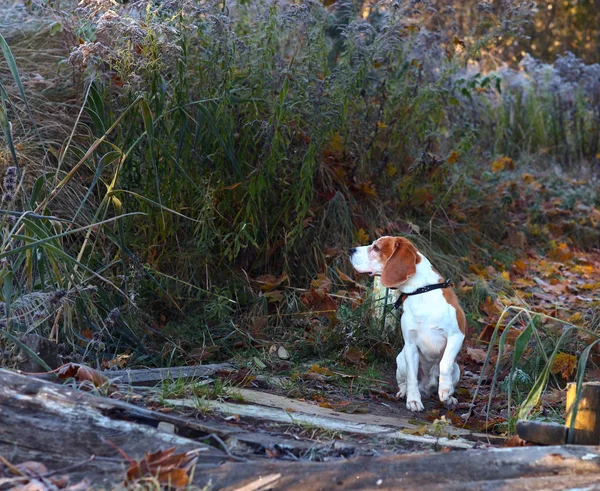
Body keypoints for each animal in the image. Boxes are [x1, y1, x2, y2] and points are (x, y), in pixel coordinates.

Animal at [350, 236, 466, 414]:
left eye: (376, 248)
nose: (351, 250)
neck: (421, 291)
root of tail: (426, 388)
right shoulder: (410, 345)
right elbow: (412, 377)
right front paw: (413, 400)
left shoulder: (457, 336)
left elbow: (444, 363)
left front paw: (445, 390)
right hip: (401, 359)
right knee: (405, 382)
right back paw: (404, 393)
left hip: (457, 369)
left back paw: (449, 398)